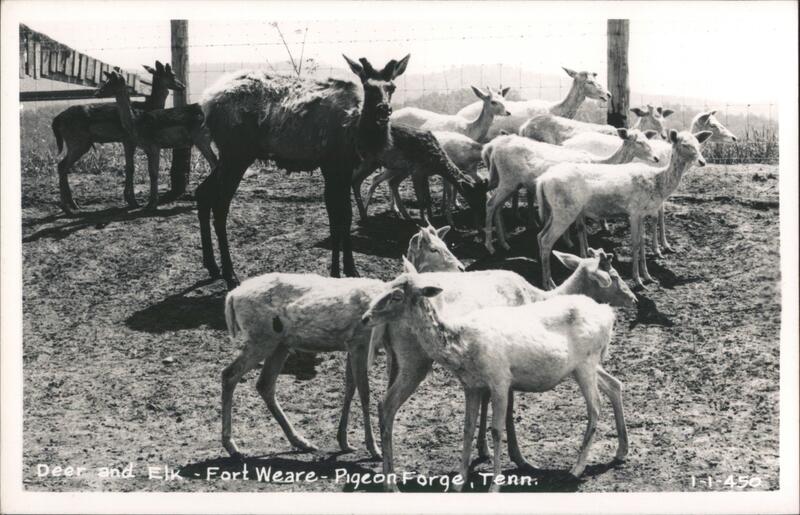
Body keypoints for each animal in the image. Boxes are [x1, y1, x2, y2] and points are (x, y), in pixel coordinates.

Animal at [51, 61, 184, 214]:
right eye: (172, 74)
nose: (182, 86)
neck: (147, 108)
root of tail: (56, 119)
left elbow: (130, 166)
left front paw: (131, 200)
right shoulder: (127, 139)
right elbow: (130, 167)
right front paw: (132, 201)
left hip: (77, 143)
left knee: (62, 166)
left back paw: (73, 205)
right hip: (78, 142)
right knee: (62, 165)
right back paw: (67, 207)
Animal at [94, 71, 218, 210]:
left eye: (111, 82)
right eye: (106, 80)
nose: (97, 93)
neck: (136, 124)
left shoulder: (154, 145)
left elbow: (153, 173)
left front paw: (151, 204)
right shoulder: (146, 148)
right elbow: (148, 171)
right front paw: (149, 203)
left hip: (202, 138)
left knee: (214, 161)